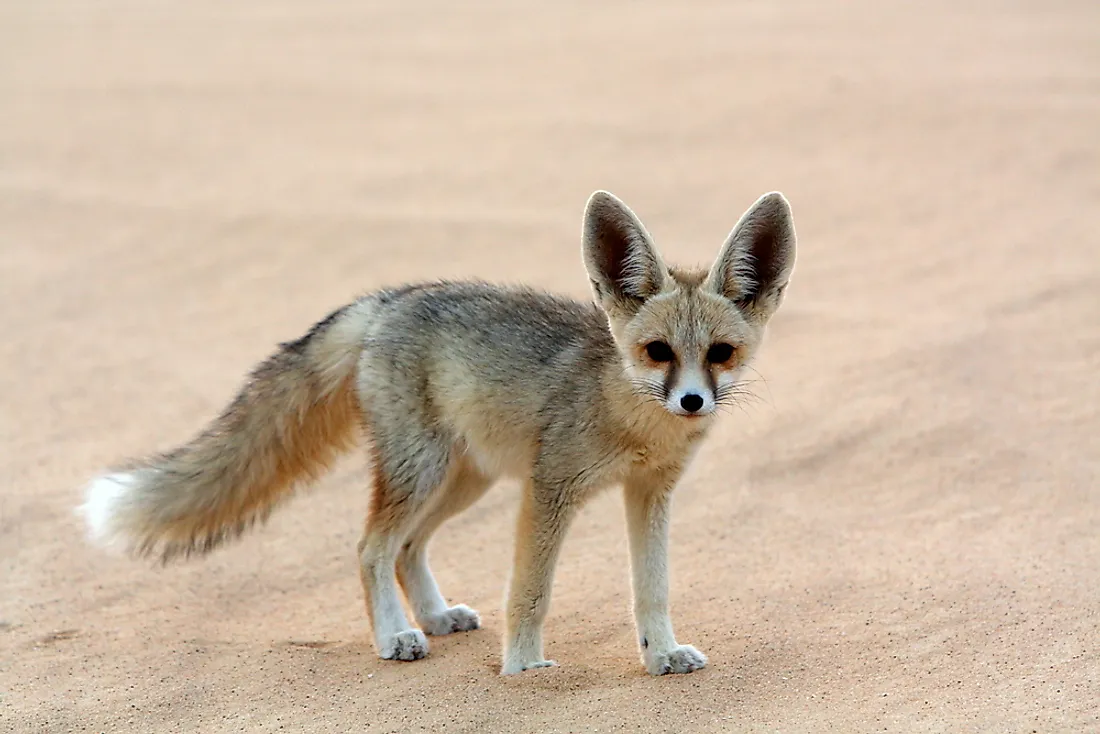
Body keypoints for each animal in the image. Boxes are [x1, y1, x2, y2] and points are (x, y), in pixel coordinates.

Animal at [79, 191, 800, 677]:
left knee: (406, 549)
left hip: (465, 481)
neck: (629, 417)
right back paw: (396, 637)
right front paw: (524, 669)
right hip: (425, 472)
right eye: (657, 352)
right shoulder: (550, 490)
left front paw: (661, 655)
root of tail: (390, 298)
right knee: (371, 548)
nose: (691, 401)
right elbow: (530, 592)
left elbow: (653, 589)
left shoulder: (650, 494)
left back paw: (431, 616)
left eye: (720, 354)